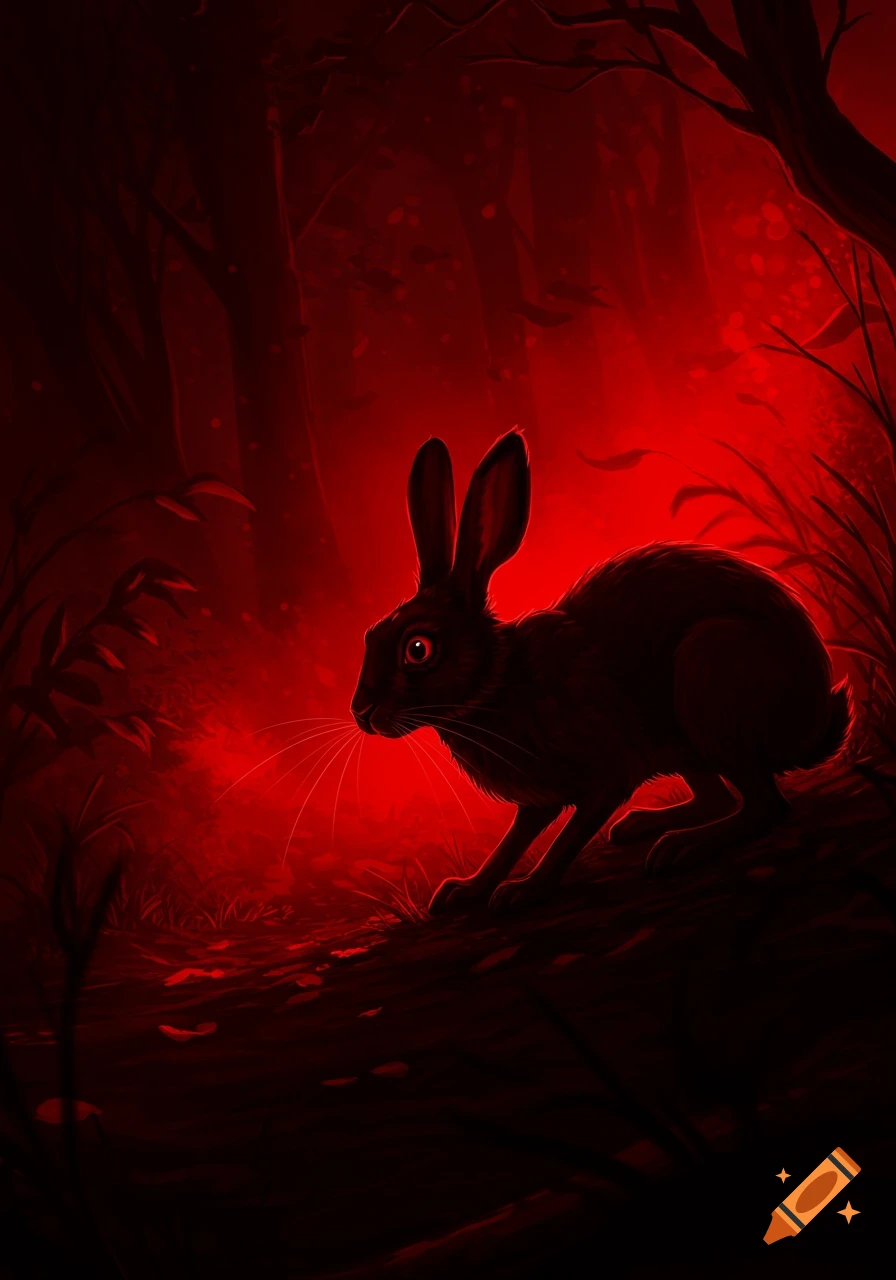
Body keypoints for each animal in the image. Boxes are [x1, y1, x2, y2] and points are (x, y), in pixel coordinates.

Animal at [350, 430, 851, 914]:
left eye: (418, 649)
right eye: (370, 635)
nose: (361, 711)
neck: (498, 681)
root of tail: (811, 726)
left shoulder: (606, 773)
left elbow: (568, 837)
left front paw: (524, 893)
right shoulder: (538, 795)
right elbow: (514, 840)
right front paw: (465, 891)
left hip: (709, 676)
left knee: (765, 805)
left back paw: (680, 847)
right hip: (685, 740)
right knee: (723, 797)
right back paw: (641, 826)